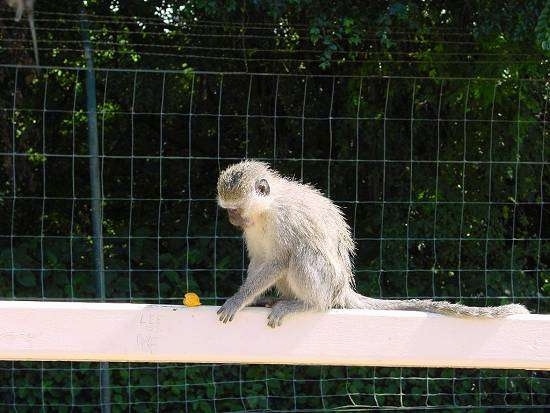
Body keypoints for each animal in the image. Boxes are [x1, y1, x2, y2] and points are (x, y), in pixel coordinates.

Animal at [216, 159, 532, 326]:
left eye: (236, 209)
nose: (231, 219)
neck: (266, 210)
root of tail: (341, 289)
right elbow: (260, 261)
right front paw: (251, 297)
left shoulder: (284, 221)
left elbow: (279, 260)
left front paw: (239, 299)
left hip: (327, 284)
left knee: (303, 255)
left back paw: (308, 305)